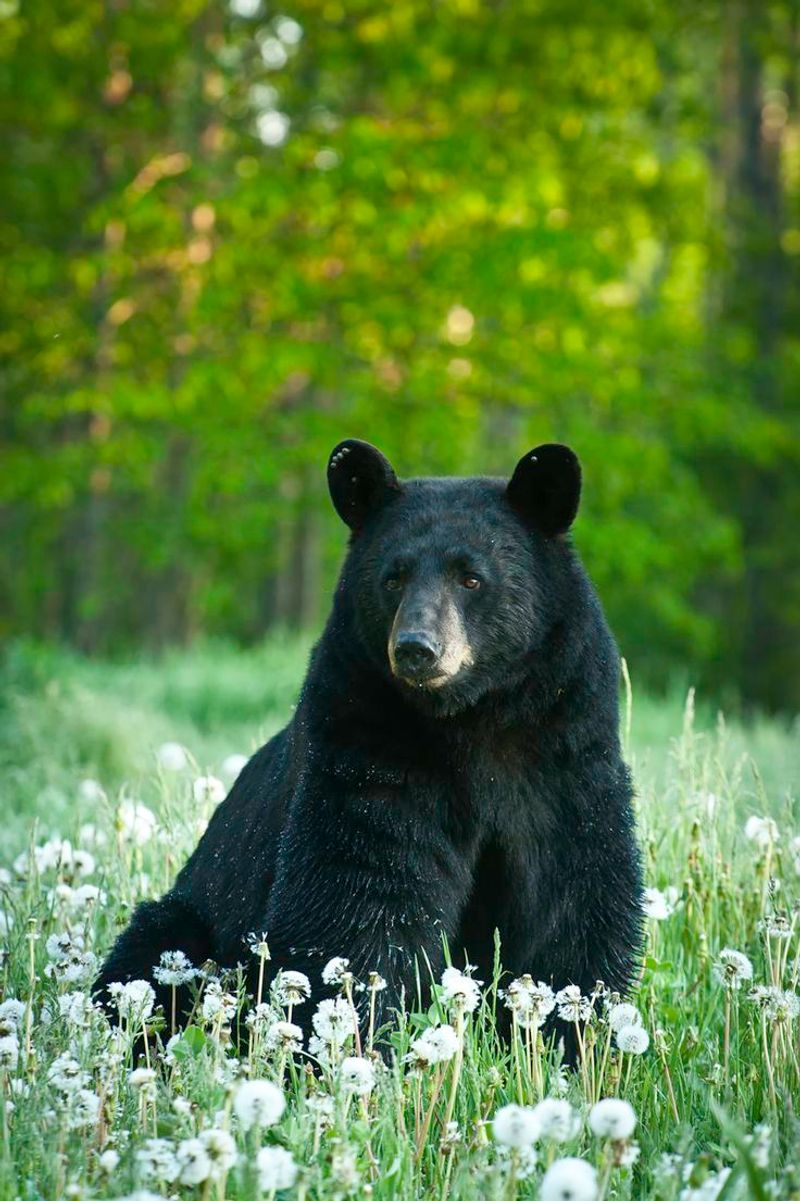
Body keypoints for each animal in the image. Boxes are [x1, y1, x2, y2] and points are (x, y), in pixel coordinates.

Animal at [94, 441, 643, 1042]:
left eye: (472, 578)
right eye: (393, 577)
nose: (416, 648)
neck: (471, 719)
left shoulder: (562, 755)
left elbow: (569, 897)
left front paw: (574, 1035)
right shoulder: (367, 748)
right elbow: (364, 893)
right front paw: (352, 1039)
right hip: (192, 919)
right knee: (153, 957)